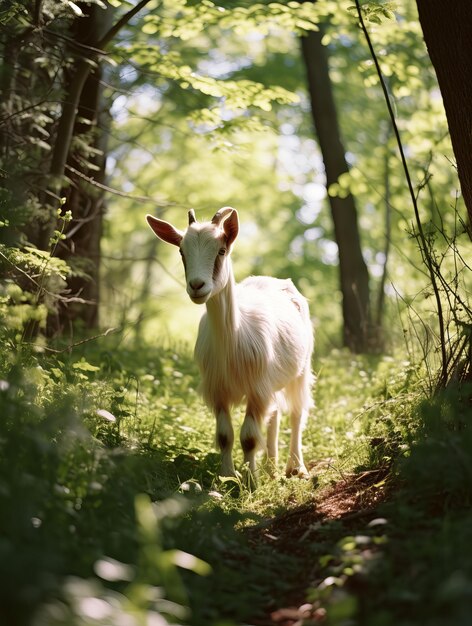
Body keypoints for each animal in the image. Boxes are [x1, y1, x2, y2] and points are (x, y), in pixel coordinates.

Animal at [146, 207, 316, 480]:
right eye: (182, 251)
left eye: (221, 250)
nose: (197, 285)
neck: (233, 339)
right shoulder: (218, 389)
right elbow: (225, 435)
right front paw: (227, 476)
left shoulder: (257, 388)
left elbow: (249, 437)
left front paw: (250, 481)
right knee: (275, 415)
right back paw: (270, 468)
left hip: (302, 368)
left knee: (297, 413)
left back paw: (296, 468)